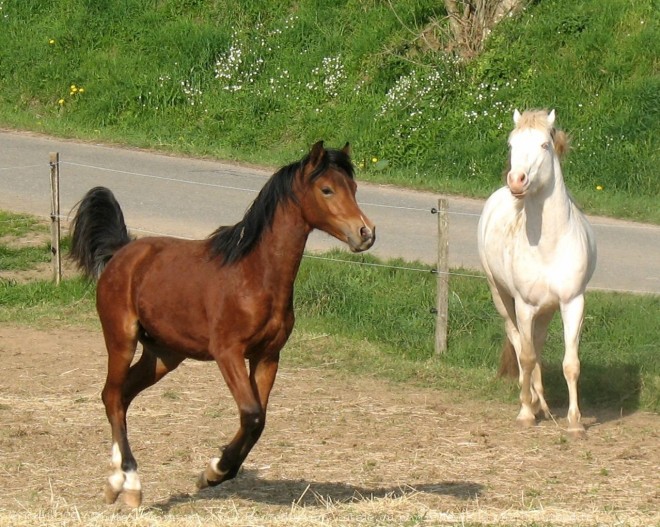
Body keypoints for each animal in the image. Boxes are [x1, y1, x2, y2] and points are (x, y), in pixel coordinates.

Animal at [70, 140, 376, 508]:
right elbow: (251, 413)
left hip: (163, 356)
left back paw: (115, 481)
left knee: (121, 396)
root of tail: (123, 253)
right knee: (112, 396)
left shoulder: (267, 357)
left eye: (354, 188)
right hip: (121, 339)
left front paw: (215, 473)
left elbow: (259, 420)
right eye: (326, 189)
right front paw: (214, 470)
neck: (254, 275)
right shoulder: (227, 352)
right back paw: (129, 484)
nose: (365, 233)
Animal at [476, 108, 596, 438]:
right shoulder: (525, 306)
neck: (549, 243)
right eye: (511, 144)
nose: (517, 180)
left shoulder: (572, 303)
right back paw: (530, 400)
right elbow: (526, 357)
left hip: (547, 309)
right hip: (502, 299)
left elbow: (571, 363)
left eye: (545, 144)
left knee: (538, 344)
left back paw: (541, 402)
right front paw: (525, 413)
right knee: (519, 344)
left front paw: (575, 422)